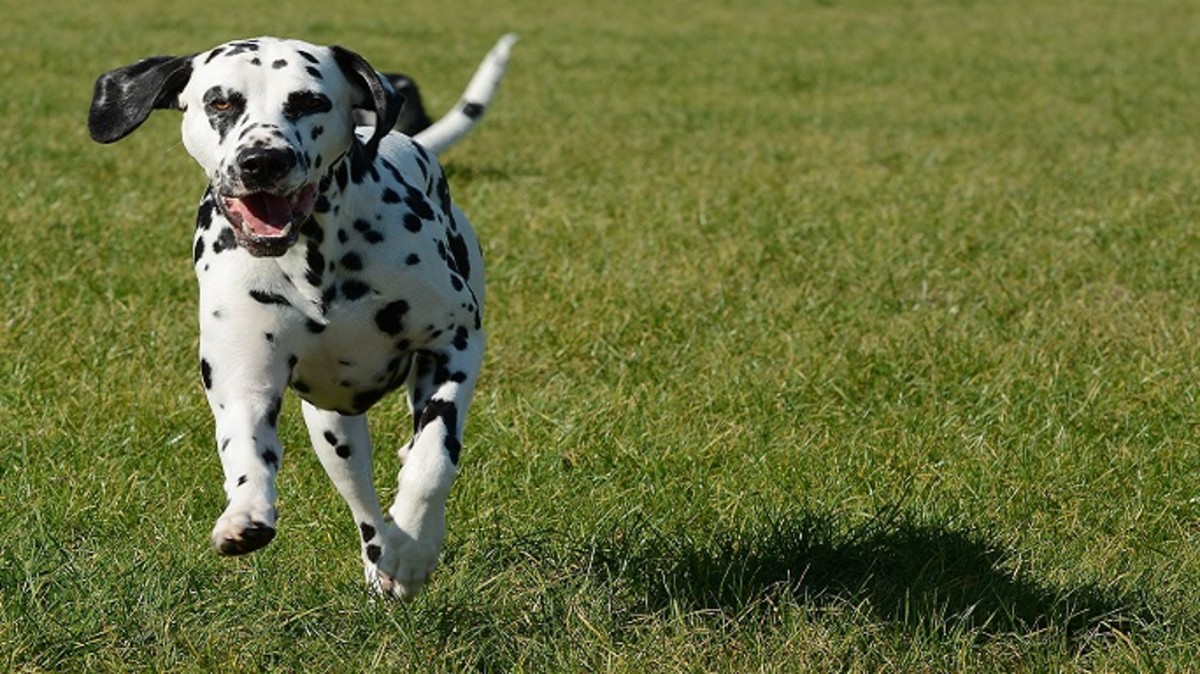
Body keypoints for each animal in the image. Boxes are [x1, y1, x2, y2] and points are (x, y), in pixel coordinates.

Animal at [84, 34, 516, 594]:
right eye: (220, 103)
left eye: (309, 101)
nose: (261, 160)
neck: (316, 258)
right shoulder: (244, 380)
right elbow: (244, 447)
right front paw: (245, 512)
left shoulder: (454, 344)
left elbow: (433, 458)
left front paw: (418, 546)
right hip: (334, 433)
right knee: (364, 505)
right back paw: (379, 559)